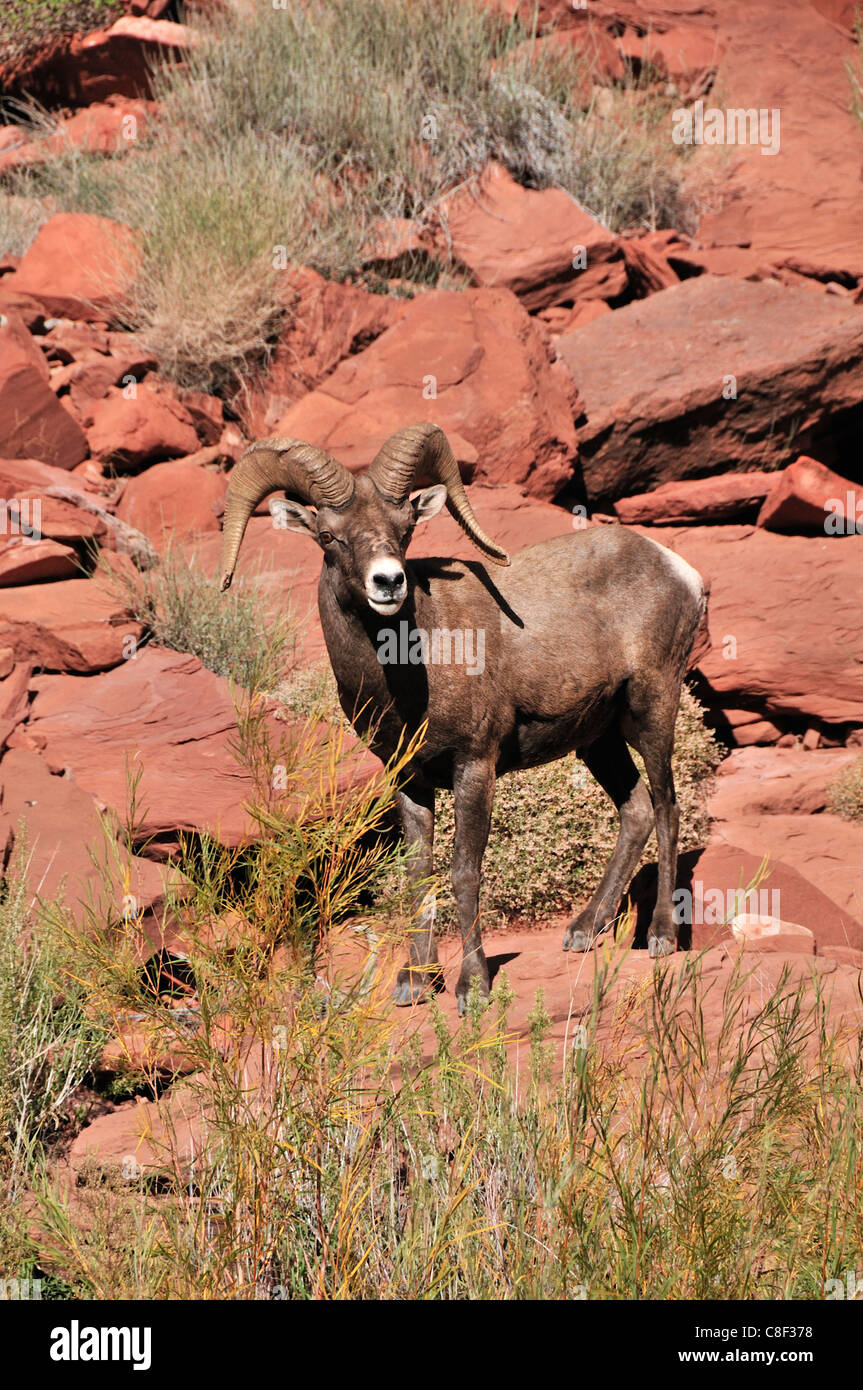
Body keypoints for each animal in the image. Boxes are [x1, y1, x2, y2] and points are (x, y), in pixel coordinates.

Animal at [222, 419, 705, 1011]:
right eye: (329, 537)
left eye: (404, 528)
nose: (389, 582)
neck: (409, 669)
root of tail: (678, 568)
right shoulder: (408, 779)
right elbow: (418, 873)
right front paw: (414, 981)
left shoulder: (474, 767)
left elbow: (463, 872)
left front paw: (471, 987)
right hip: (599, 739)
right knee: (635, 810)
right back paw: (584, 930)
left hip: (653, 707)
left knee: (666, 806)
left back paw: (659, 936)